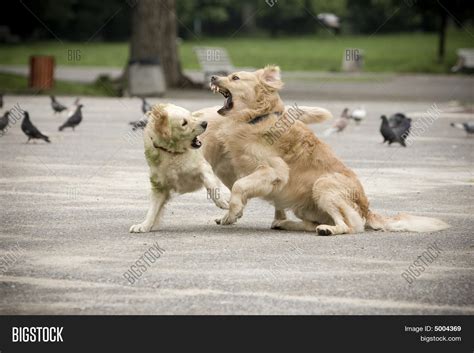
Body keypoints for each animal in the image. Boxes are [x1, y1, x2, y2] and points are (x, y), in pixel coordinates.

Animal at [128, 103, 228, 232]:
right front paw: (144, 225)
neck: (172, 152)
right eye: (184, 123)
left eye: (191, 115)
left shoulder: (204, 167)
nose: (205, 123)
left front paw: (222, 202)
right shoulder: (159, 187)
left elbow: (211, 186)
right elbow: (152, 210)